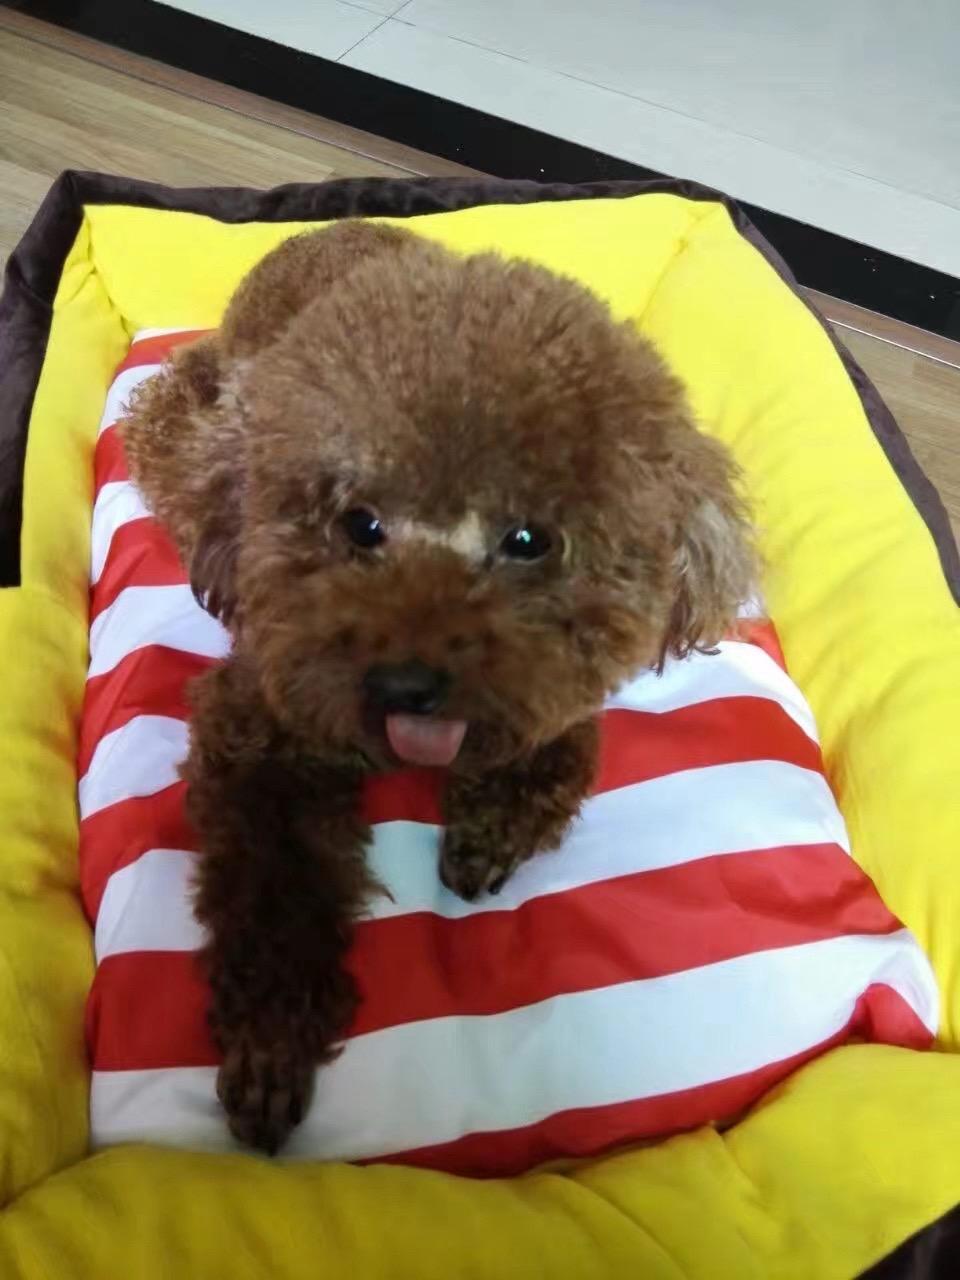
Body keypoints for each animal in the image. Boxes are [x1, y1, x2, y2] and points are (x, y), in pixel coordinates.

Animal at [121, 220, 752, 1153]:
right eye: (359, 524)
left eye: (529, 539)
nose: (406, 682)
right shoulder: (260, 725)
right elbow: (273, 888)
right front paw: (271, 1048)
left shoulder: (551, 696)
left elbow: (548, 750)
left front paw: (489, 833)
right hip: (194, 411)